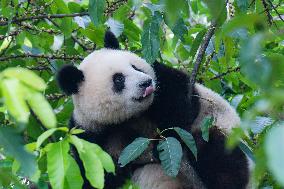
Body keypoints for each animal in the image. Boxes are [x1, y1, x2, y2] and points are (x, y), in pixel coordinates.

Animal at [56, 31, 250, 189]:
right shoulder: (89, 133)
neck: (129, 117)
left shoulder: (162, 79)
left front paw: (164, 143)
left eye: (135, 67)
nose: (146, 83)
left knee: (218, 154)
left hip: (220, 128)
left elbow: (183, 104)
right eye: (118, 79)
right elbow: (101, 174)